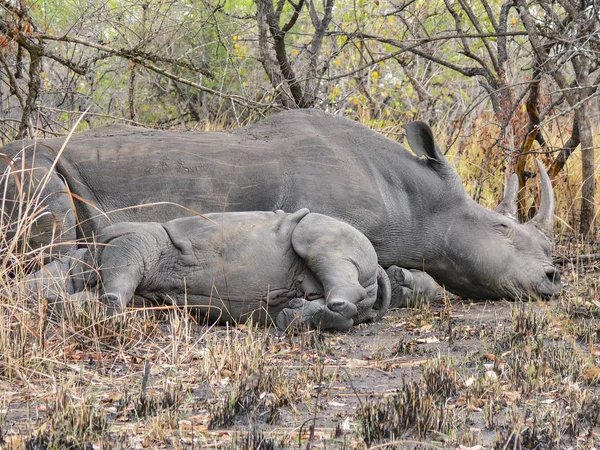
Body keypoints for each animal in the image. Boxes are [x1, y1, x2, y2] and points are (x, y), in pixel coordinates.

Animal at [23, 209, 392, 332]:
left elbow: (121, 273)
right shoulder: (149, 302)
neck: (78, 263)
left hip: (331, 230)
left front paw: (108, 301)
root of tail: (380, 269)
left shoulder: (129, 238)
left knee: (312, 238)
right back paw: (294, 315)